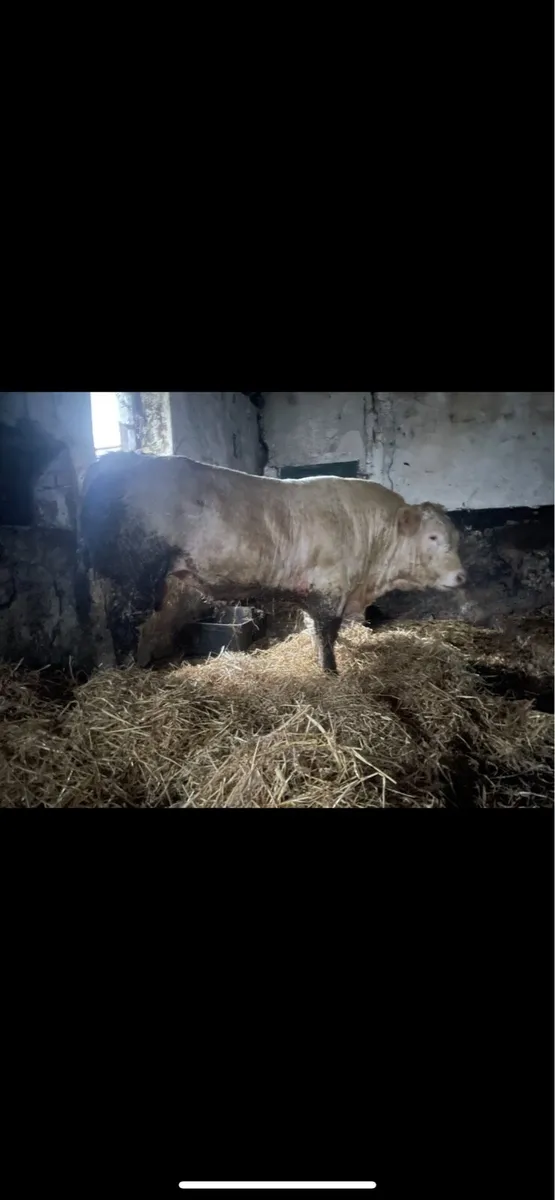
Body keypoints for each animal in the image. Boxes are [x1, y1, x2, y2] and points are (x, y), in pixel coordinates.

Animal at [80, 452, 466, 673]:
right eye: (433, 538)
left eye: (455, 536)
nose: (462, 576)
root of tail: (109, 461)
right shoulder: (330, 589)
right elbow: (326, 635)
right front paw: (331, 673)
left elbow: (320, 631)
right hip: (132, 576)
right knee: (124, 626)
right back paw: (129, 673)